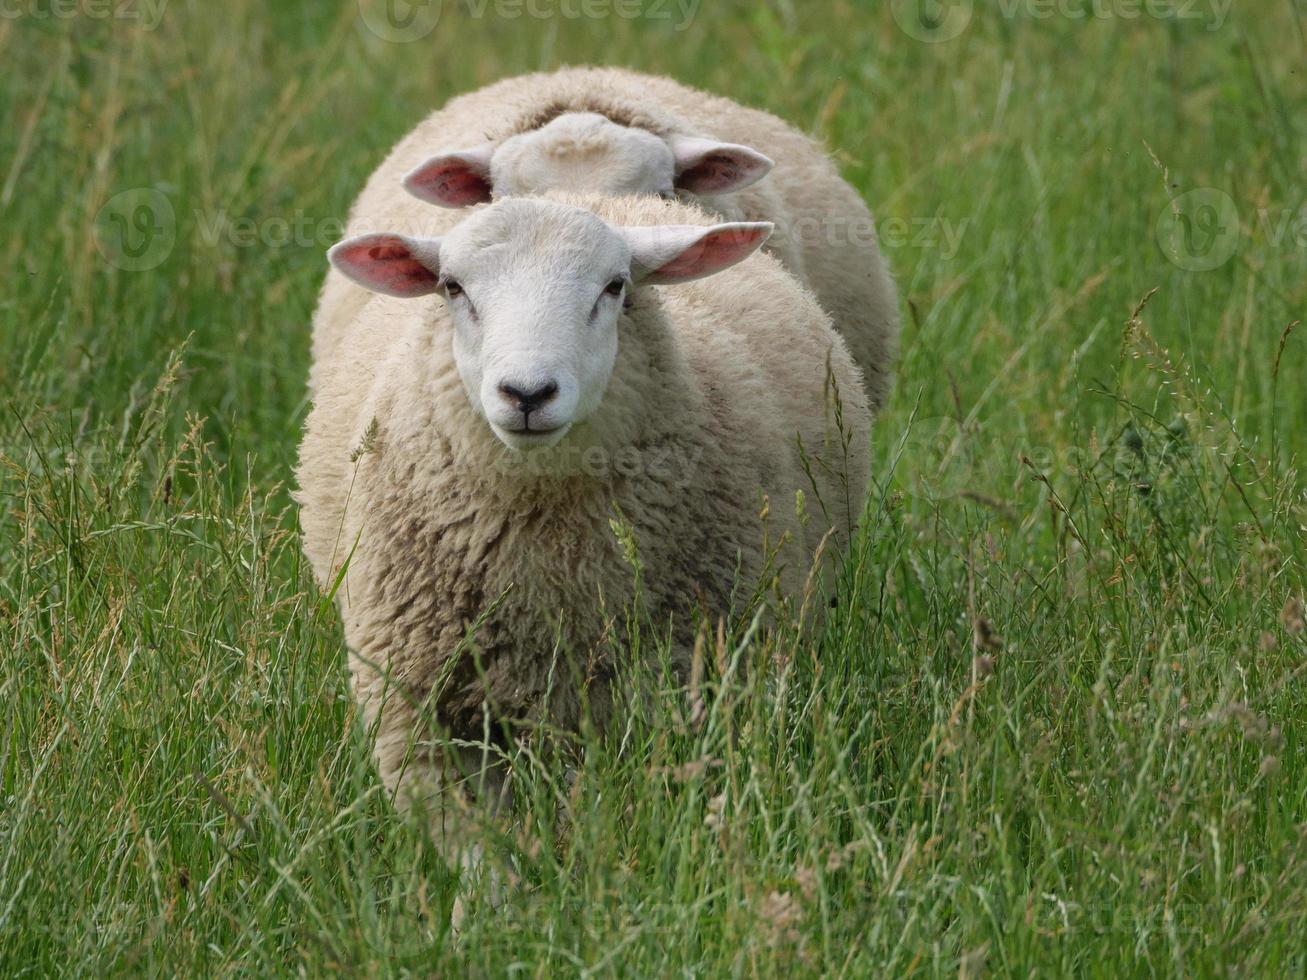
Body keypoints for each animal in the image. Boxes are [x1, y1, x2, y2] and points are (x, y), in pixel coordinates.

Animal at [296, 192, 867, 904]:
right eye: (452, 288)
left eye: (615, 286)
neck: (550, 563)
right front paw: (495, 918)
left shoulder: (673, 695)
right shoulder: (422, 721)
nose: (527, 393)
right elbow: (482, 861)